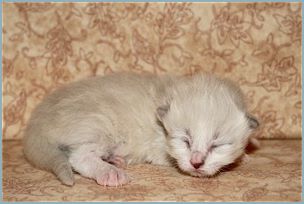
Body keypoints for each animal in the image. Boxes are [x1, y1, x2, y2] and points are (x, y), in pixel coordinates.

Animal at [22, 71, 258, 186]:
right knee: (78, 157)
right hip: (100, 123)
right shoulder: (159, 148)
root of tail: (37, 122)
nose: (196, 163)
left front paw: (243, 157)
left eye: (217, 145)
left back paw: (115, 160)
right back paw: (109, 172)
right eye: (185, 140)